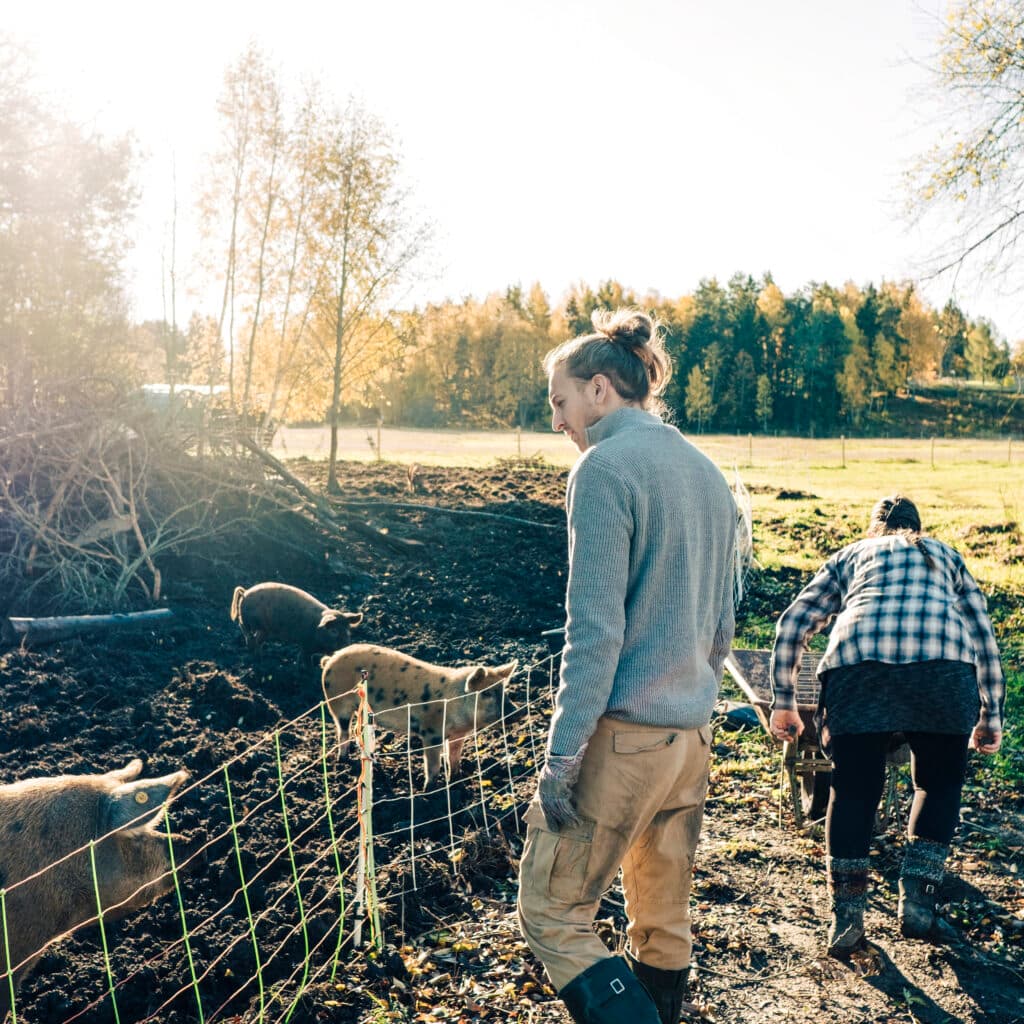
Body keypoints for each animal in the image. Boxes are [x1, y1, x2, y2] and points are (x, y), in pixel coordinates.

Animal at [230, 581, 366, 667]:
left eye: (348, 630)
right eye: (334, 631)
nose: (347, 647)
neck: (317, 630)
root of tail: (245, 592)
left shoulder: (305, 646)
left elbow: (301, 657)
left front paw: (298, 666)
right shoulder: (306, 645)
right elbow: (306, 659)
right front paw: (307, 671)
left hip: (263, 629)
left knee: (256, 639)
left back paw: (259, 654)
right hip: (252, 621)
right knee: (243, 628)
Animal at [321, 638, 516, 790]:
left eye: (503, 689)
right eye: (486, 693)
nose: (517, 712)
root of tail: (330, 660)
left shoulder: (457, 735)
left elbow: (453, 758)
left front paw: (456, 781)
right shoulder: (431, 733)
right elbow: (433, 765)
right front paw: (428, 791)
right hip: (337, 703)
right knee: (343, 731)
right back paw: (343, 760)